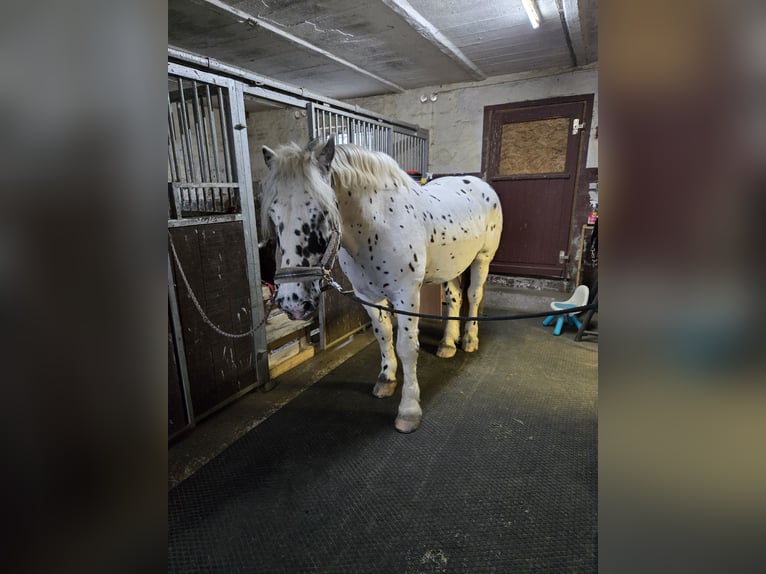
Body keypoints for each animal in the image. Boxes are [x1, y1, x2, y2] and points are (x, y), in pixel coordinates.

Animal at [260, 136, 508, 432]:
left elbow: (407, 348)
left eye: (321, 212)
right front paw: (386, 379)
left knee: (473, 295)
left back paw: (470, 339)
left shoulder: (406, 295)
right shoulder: (368, 296)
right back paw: (448, 344)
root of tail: (481, 184)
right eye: (273, 215)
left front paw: (409, 410)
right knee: (455, 298)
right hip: (450, 266)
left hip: (482, 259)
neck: (379, 226)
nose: (292, 302)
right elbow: (384, 335)